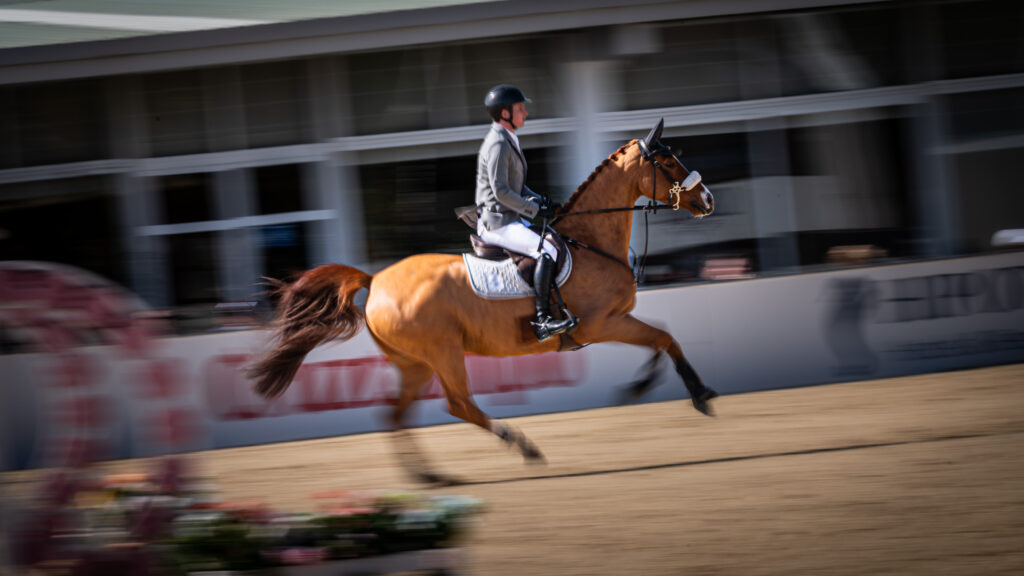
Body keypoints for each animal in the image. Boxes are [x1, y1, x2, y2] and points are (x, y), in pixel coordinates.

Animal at [248, 119, 718, 484]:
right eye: (668, 162)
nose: (707, 200)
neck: (590, 243)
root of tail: (375, 279)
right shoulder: (602, 324)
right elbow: (664, 338)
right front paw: (698, 394)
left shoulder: (618, 320)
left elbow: (661, 339)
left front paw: (645, 386)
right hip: (443, 352)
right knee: (459, 404)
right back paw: (522, 446)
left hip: (415, 363)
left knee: (394, 414)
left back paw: (429, 476)